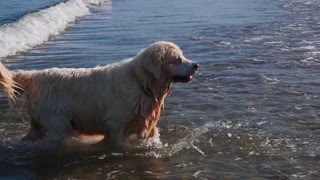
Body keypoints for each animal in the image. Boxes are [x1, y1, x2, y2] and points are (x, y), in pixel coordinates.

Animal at [0, 41, 199, 146]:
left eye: (183, 56)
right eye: (177, 60)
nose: (196, 65)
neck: (141, 83)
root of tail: (35, 75)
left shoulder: (146, 122)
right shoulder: (116, 125)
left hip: (39, 124)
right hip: (58, 124)